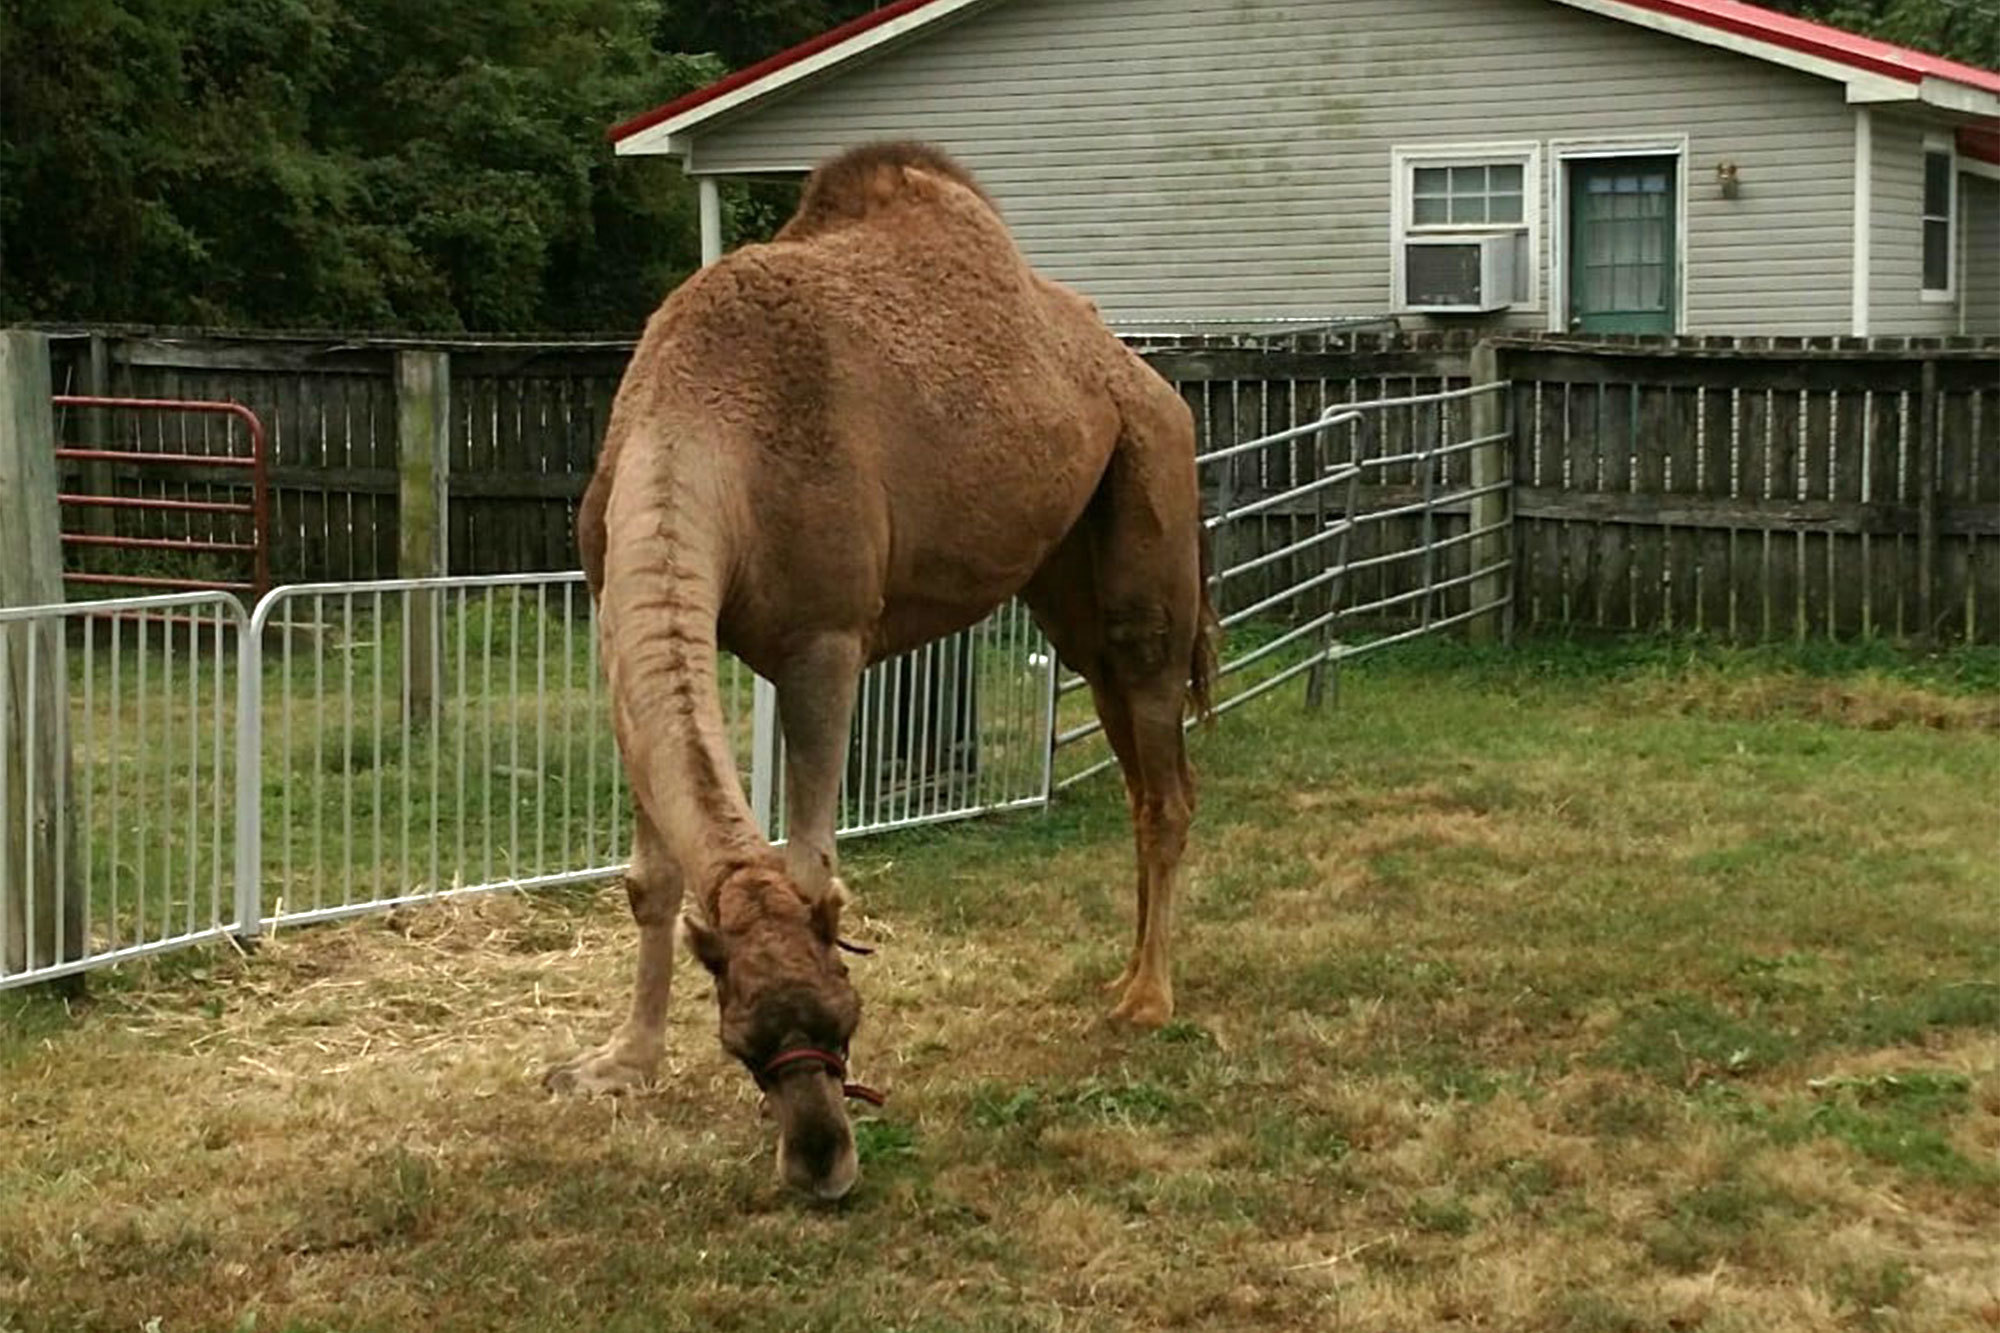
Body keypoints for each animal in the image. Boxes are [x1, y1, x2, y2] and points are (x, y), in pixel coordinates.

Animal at [540, 140, 1216, 1200]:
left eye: (845, 1014)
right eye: (741, 1040)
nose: (823, 1162)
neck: (703, 420)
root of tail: (1141, 374)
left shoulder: (825, 635)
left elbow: (811, 857)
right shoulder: (623, 615)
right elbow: (653, 877)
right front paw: (620, 1065)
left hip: (1149, 495)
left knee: (1164, 763)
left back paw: (1147, 999)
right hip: (1068, 580)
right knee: (1136, 756)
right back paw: (1121, 975)